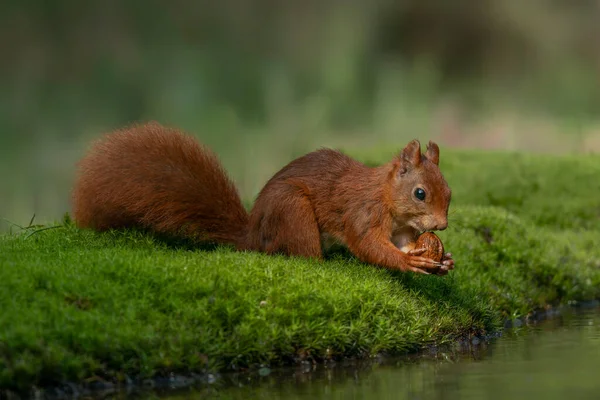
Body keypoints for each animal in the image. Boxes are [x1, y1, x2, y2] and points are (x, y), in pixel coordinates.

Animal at [71, 122, 454, 276]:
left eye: (449, 193)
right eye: (420, 193)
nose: (442, 225)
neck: (387, 198)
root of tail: (253, 234)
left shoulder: (402, 230)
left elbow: (403, 243)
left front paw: (442, 259)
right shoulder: (362, 212)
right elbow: (369, 245)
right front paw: (407, 262)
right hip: (293, 211)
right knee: (301, 256)